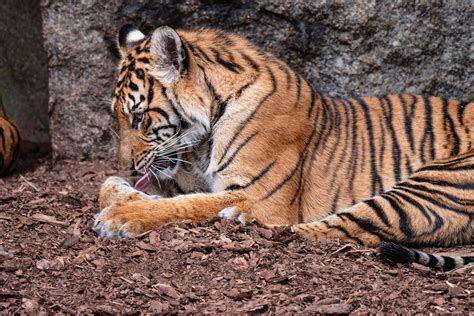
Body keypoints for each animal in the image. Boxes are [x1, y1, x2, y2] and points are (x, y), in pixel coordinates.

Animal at [90, 24, 472, 272]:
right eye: (118, 117)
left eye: (138, 118)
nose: (128, 166)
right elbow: (111, 185)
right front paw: (124, 191)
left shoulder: (259, 192)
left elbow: (188, 205)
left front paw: (122, 215)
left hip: (430, 184)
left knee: (327, 228)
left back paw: (237, 216)